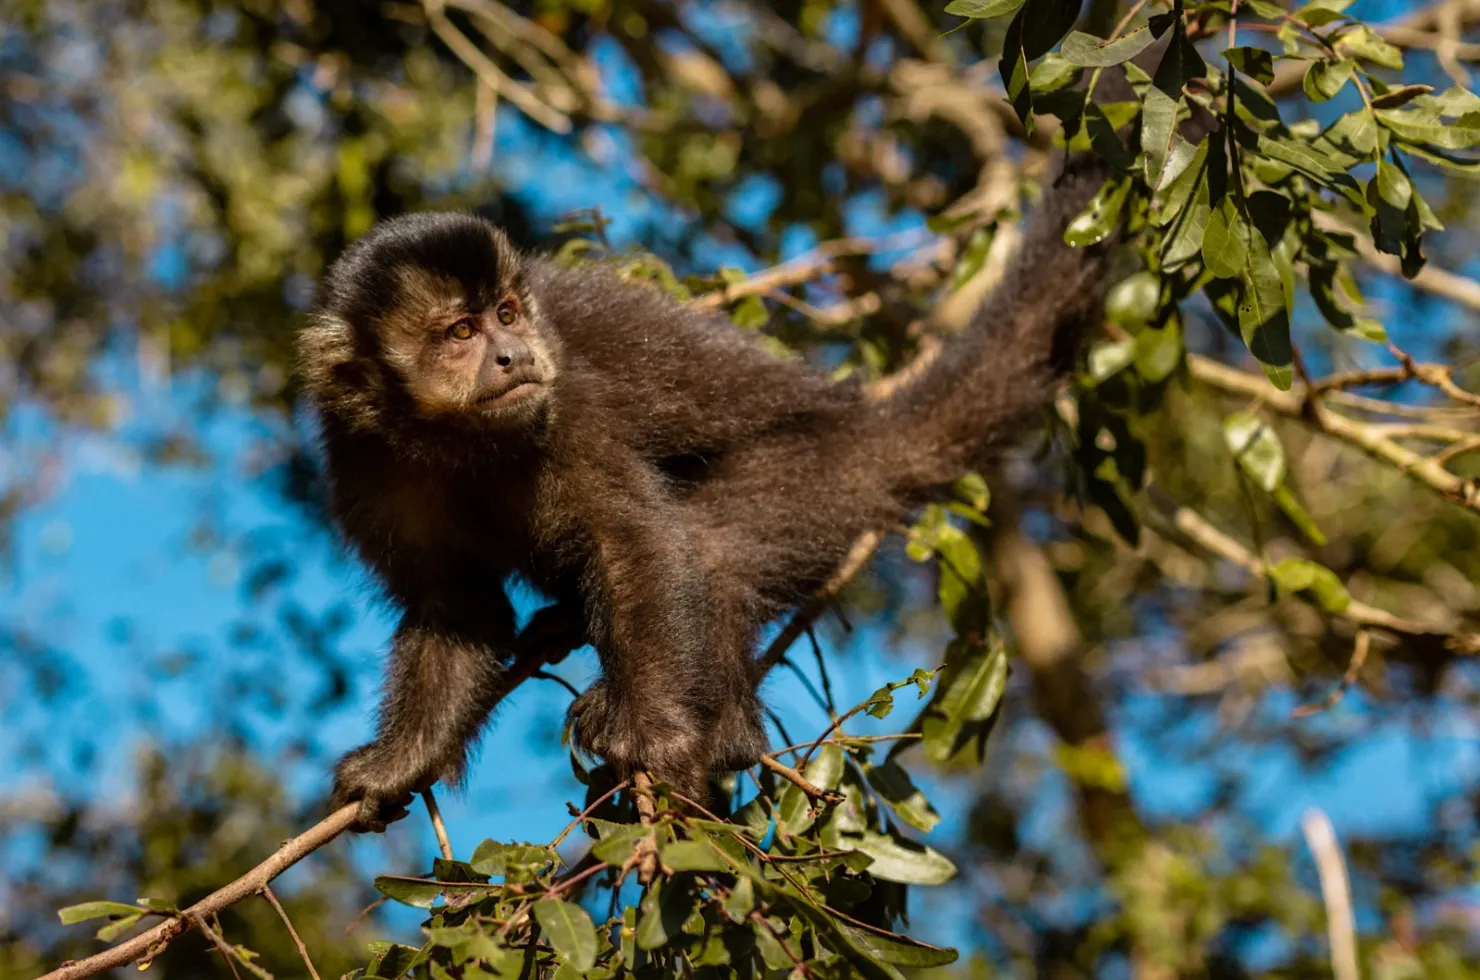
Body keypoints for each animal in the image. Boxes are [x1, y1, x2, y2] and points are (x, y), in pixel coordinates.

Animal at [300, 151, 1112, 829]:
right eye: (461, 333)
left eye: (505, 314)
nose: (513, 354)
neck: (456, 438)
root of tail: (862, 420)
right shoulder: (363, 459)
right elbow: (457, 604)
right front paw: (400, 761)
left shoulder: (567, 411)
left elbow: (636, 544)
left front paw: (656, 736)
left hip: (816, 472)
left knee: (711, 549)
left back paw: (721, 733)